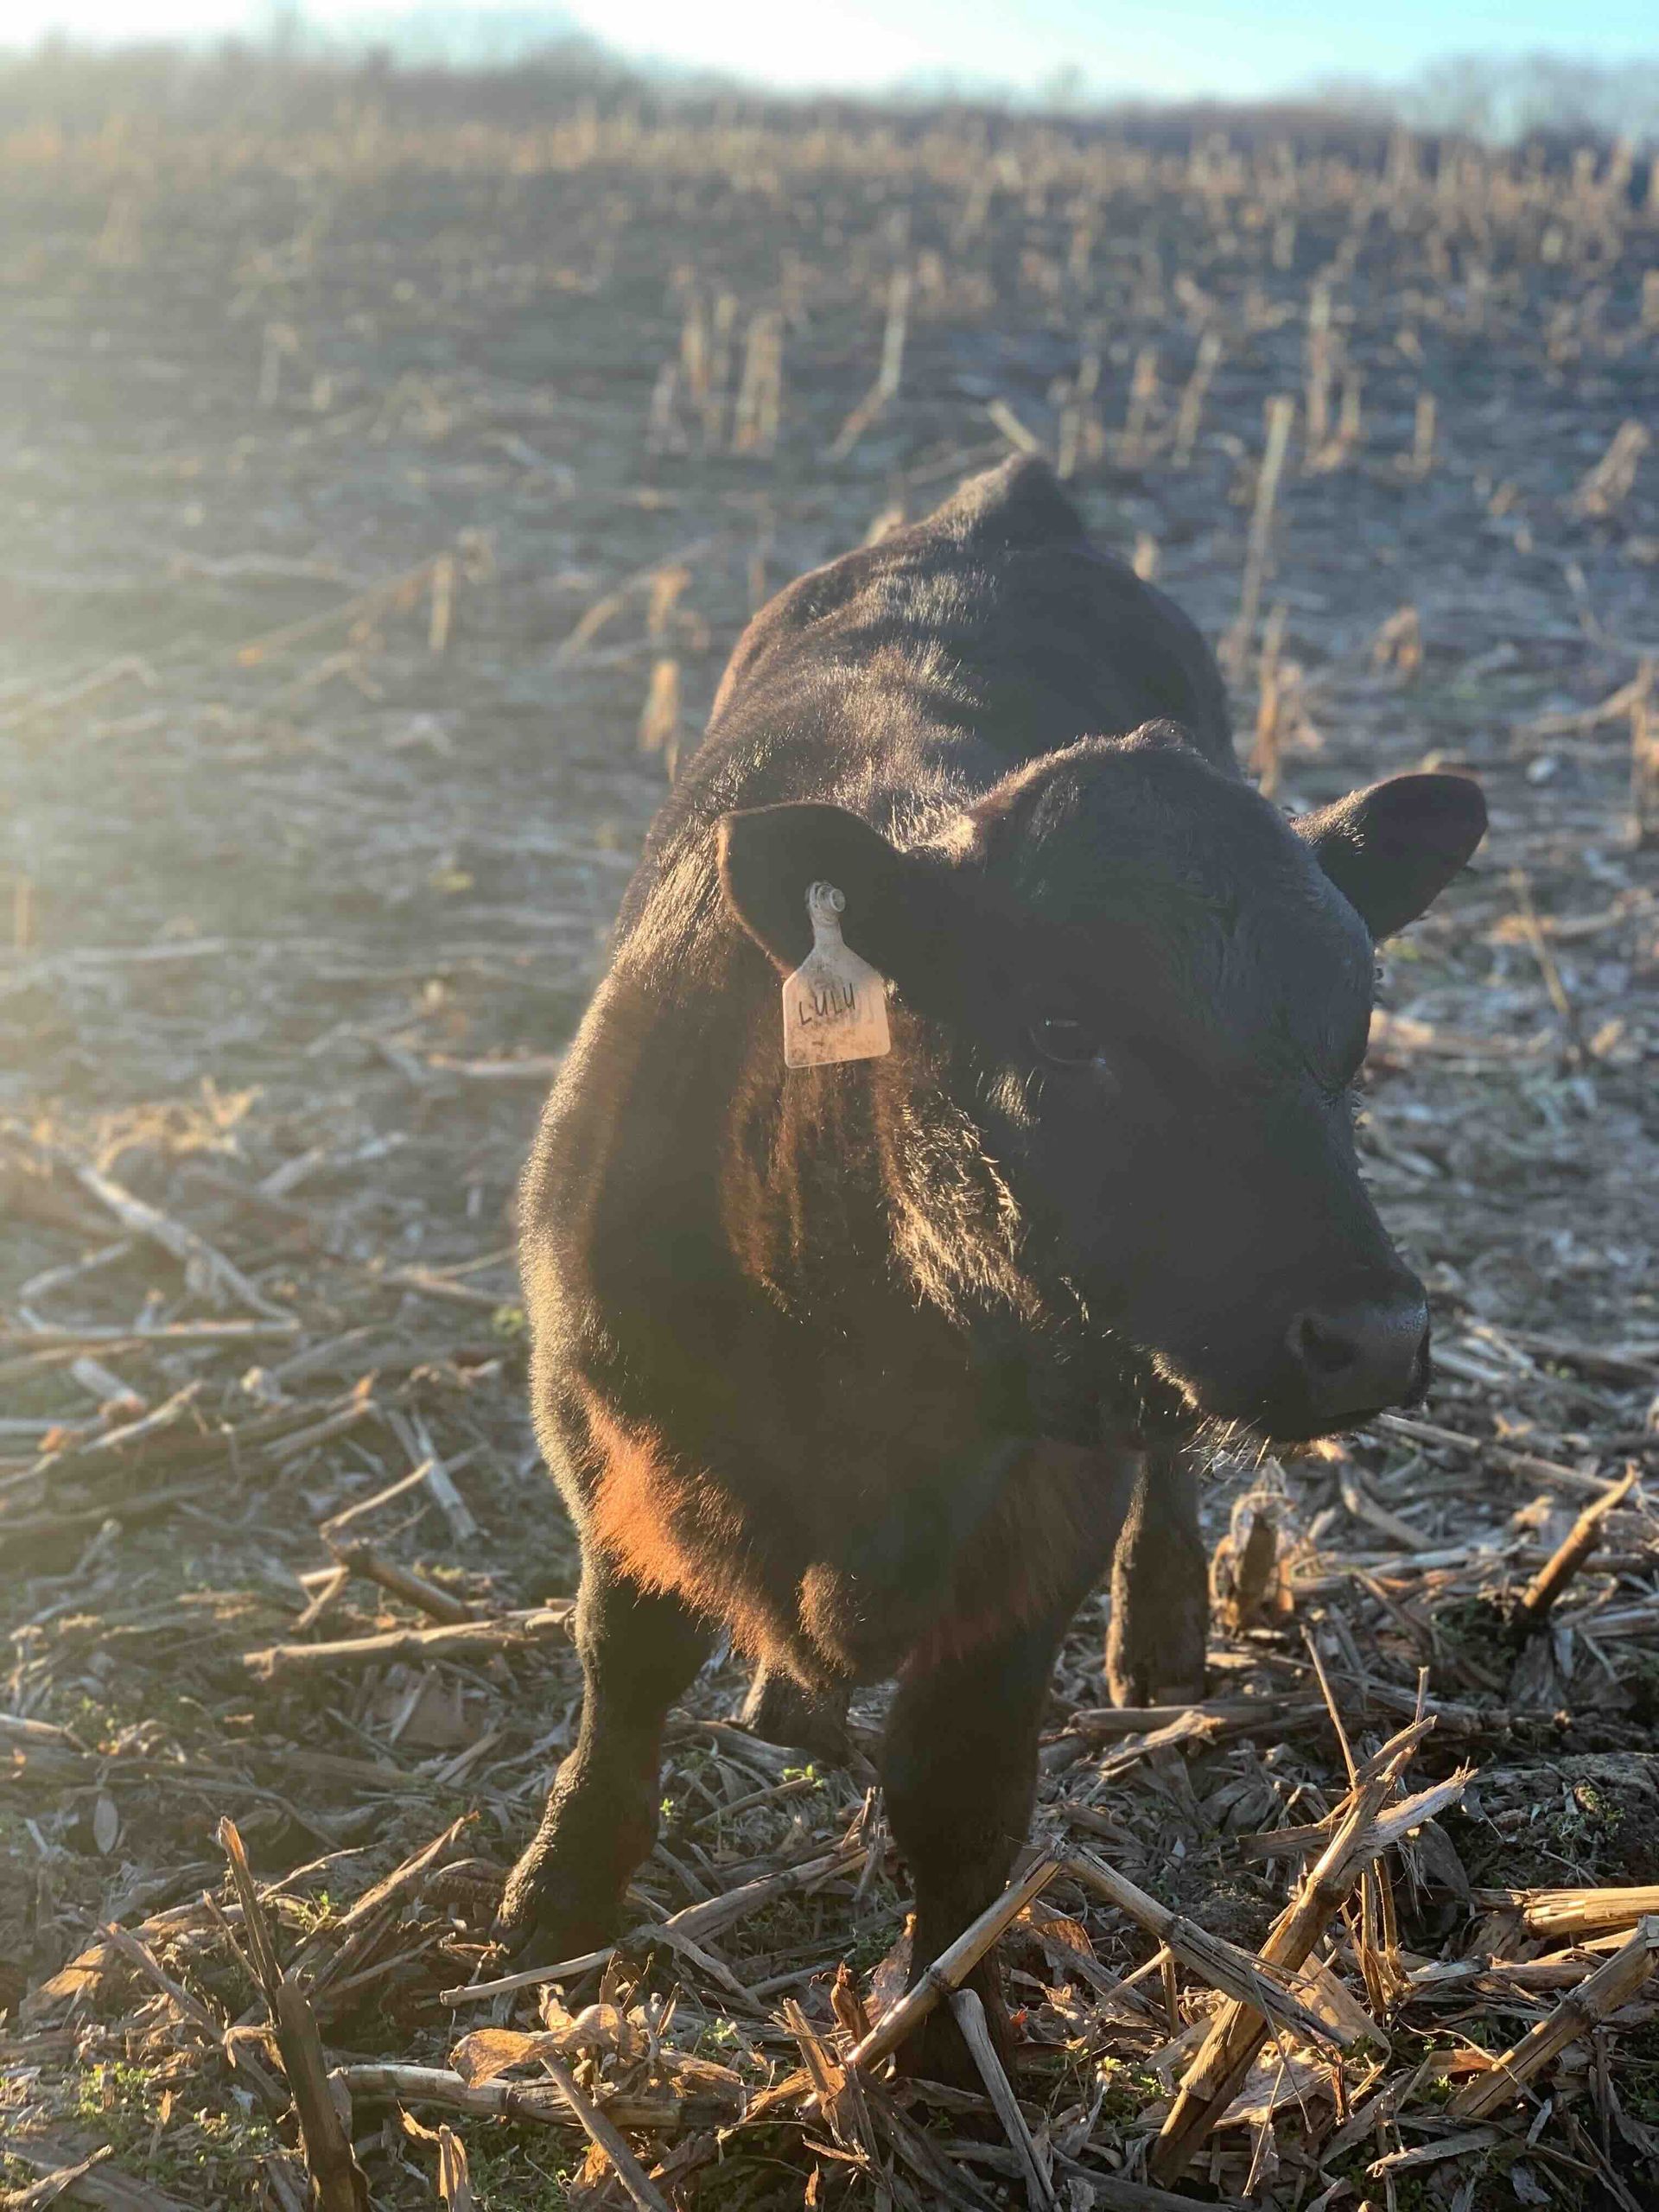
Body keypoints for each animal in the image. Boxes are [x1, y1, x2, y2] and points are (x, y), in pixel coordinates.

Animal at [496, 456, 1486, 2082]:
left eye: (1352, 1037)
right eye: (1064, 1033)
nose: (1375, 1333)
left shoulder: (1040, 1515)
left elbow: (960, 1789)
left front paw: (948, 2033)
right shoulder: (607, 1428)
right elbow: (622, 1662)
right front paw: (558, 1893)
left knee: (1169, 1465)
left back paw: (1161, 1630)